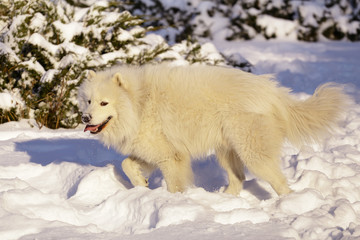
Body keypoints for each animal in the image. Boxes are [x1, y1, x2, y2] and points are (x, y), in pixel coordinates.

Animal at [77, 63, 348, 195]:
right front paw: (142, 185)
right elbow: (127, 164)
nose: (85, 118)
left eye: (104, 103)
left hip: (252, 153)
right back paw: (224, 199)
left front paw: (172, 202)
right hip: (226, 152)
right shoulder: (153, 151)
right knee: (238, 179)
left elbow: (174, 185)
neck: (140, 103)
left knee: (279, 182)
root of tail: (273, 92)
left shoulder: (171, 157)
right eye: (89, 100)